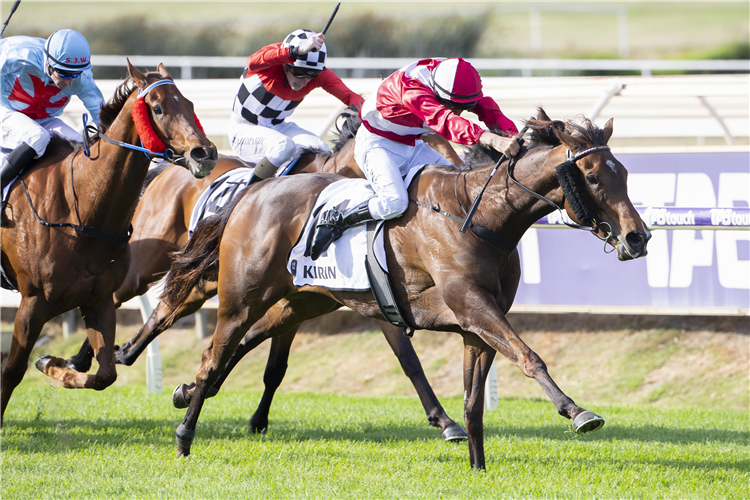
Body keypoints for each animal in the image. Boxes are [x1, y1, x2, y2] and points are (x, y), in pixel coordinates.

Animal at [0, 60, 217, 428]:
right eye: (157, 108)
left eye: (188, 103)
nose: (205, 152)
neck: (83, 213)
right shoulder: (33, 301)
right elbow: (12, 370)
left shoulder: (98, 300)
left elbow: (105, 375)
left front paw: (53, 365)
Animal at [63, 111, 464, 440]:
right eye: (435, 150)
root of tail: (171, 168)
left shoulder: (330, 297)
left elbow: (267, 361)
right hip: (153, 262)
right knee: (119, 295)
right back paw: (85, 358)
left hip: (204, 278)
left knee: (164, 312)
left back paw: (122, 352)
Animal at [162, 109, 648, 468]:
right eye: (592, 176)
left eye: (624, 172)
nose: (637, 237)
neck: (476, 216)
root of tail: (252, 192)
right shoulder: (473, 308)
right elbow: (530, 357)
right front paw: (578, 412)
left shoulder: (477, 326)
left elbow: (474, 402)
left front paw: (478, 466)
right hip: (241, 297)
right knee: (216, 352)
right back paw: (184, 437)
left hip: (303, 300)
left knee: (239, 344)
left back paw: (186, 392)